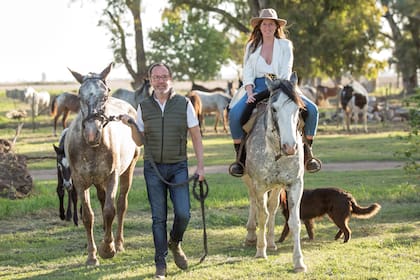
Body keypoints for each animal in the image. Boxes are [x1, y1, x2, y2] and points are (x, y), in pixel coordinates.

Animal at [64, 62, 141, 266]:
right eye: (79, 96)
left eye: (104, 95)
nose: (92, 133)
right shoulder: (80, 181)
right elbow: (88, 216)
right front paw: (92, 256)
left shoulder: (112, 177)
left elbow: (109, 211)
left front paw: (108, 249)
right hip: (98, 182)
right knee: (102, 201)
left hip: (128, 170)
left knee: (121, 204)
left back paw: (118, 243)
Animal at [241, 72, 306, 274]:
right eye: (274, 109)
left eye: (298, 109)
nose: (290, 147)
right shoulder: (259, 185)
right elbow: (262, 216)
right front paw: (260, 251)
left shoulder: (295, 184)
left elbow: (294, 222)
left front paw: (298, 262)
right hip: (248, 179)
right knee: (254, 203)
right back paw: (252, 236)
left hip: (277, 186)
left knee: (272, 207)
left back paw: (270, 243)